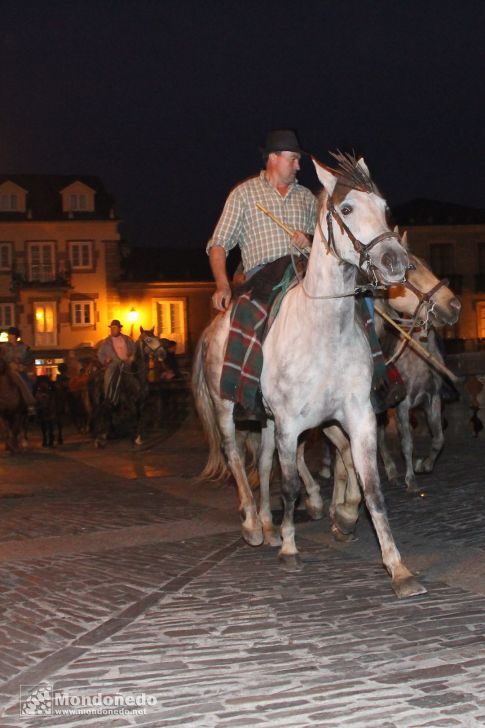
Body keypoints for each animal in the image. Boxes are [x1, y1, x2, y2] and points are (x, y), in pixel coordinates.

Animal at [193, 152, 424, 596]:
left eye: (384, 207)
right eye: (346, 209)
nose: (395, 262)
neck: (323, 331)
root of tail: (214, 327)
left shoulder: (357, 417)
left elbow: (370, 486)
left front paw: (396, 566)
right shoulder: (289, 423)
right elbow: (291, 485)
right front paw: (289, 548)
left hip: (267, 420)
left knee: (264, 463)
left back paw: (268, 524)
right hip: (227, 408)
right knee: (237, 458)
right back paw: (253, 523)